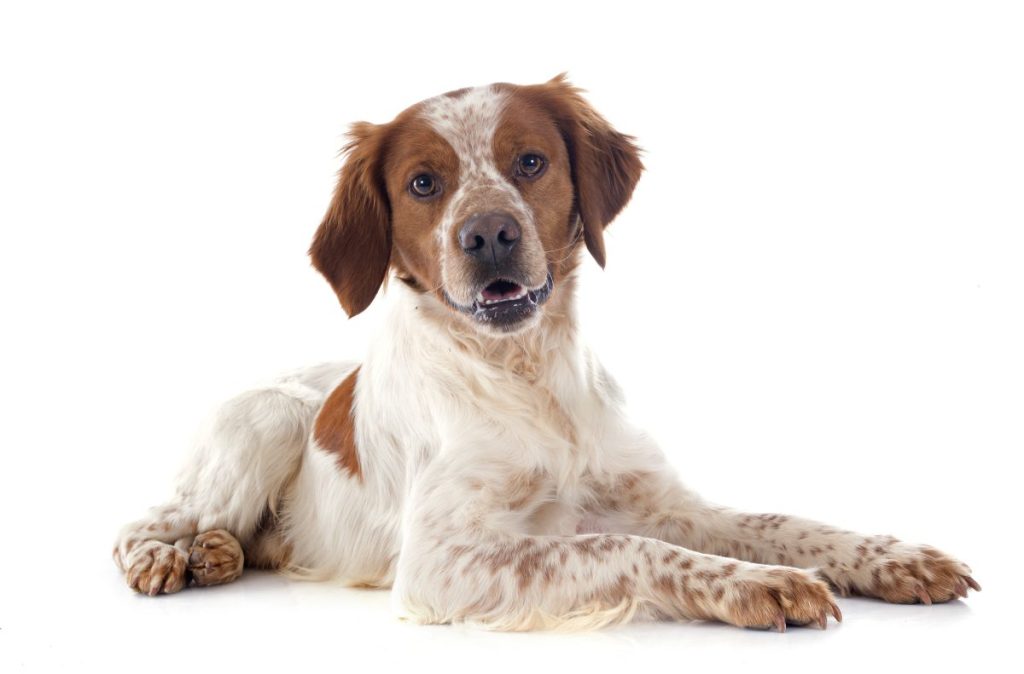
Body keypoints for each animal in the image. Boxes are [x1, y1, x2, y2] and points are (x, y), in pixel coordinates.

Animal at [112, 76, 974, 626]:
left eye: (530, 162)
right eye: (423, 183)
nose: (489, 233)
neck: (529, 379)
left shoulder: (659, 499)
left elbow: (779, 519)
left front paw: (892, 557)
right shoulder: (442, 559)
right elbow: (624, 548)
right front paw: (757, 584)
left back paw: (219, 554)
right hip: (265, 422)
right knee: (149, 518)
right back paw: (169, 557)